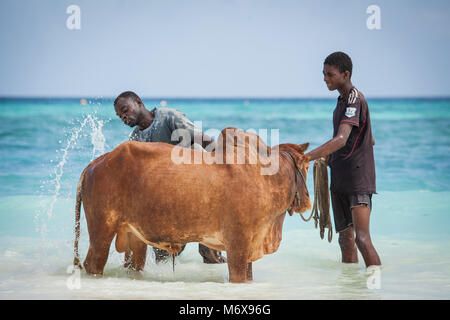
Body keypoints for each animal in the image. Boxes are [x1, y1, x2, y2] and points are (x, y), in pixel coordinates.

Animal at [74, 127, 312, 282]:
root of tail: (95, 163)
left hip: (134, 237)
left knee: (133, 264)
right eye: (307, 165)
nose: (308, 202)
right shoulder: (237, 245)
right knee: (93, 263)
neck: (266, 177)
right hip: (102, 230)